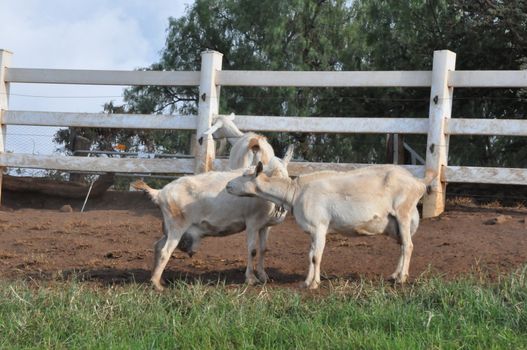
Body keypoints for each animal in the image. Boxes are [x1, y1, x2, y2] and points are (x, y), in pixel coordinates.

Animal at [227, 163, 434, 288]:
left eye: (245, 175)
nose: (228, 186)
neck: (294, 193)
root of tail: (418, 182)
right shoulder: (312, 230)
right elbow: (311, 255)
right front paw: (307, 282)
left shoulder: (319, 226)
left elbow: (316, 257)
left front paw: (314, 284)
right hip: (398, 222)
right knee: (402, 247)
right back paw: (394, 275)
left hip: (403, 213)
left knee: (408, 246)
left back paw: (402, 278)